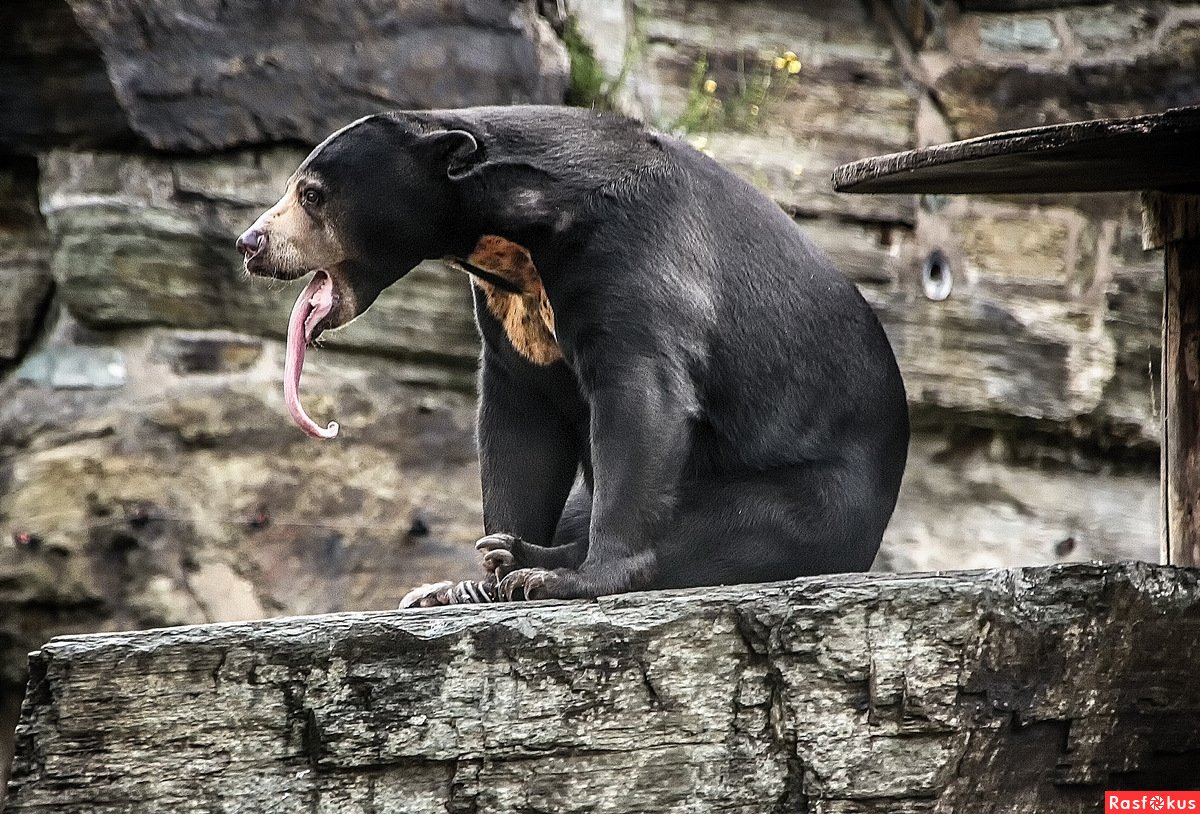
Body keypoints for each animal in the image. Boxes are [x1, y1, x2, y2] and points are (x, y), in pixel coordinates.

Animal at [235, 105, 909, 605]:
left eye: (311, 194)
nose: (250, 243)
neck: (520, 233)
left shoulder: (635, 254)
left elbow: (643, 399)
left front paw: (574, 579)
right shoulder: (512, 312)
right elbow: (519, 424)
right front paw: (480, 580)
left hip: (817, 499)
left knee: (724, 530)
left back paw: (536, 564)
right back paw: (474, 572)